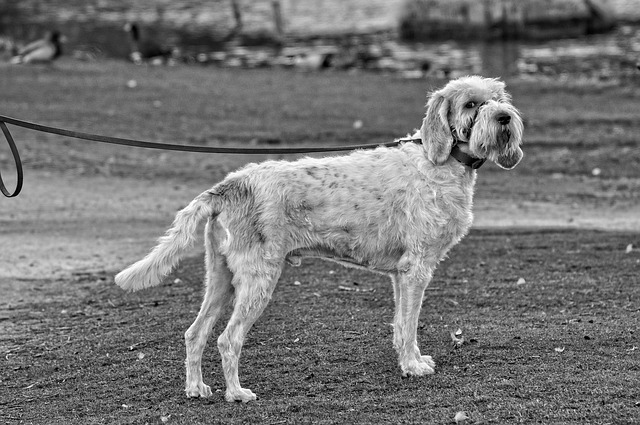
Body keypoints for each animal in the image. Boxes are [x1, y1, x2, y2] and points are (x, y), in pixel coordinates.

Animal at [116, 75, 524, 400]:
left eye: (499, 98)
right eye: (471, 104)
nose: (504, 117)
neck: (441, 162)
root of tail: (231, 185)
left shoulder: (401, 275)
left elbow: (399, 324)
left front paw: (410, 360)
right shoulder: (416, 269)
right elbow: (409, 325)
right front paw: (412, 366)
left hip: (221, 278)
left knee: (195, 333)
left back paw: (196, 388)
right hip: (258, 280)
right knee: (227, 339)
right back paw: (237, 393)